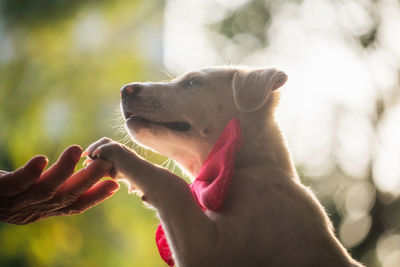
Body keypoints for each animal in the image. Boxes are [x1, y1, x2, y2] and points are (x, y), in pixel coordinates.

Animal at [86, 67, 364, 267]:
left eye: (193, 83)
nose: (124, 90)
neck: (245, 168)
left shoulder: (211, 251)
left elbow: (172, 184)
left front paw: (119, 154)